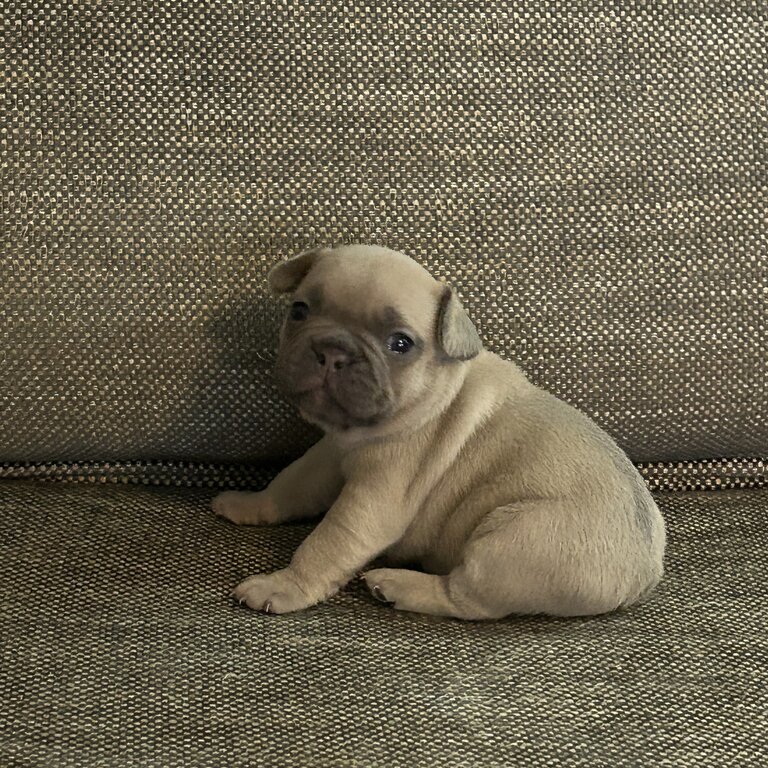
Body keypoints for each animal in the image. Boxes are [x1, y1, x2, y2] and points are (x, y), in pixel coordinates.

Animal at [212, 246, 664, 616]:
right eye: (299, 311)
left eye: (400, 344)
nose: (332, 351)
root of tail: (641, 575)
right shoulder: (326, 456)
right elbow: (289, 485)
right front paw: (248, 503)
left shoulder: (374, 498)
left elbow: (327, 543)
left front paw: (282, 587)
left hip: (512, 543)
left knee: (465, 599)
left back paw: (398, 585)